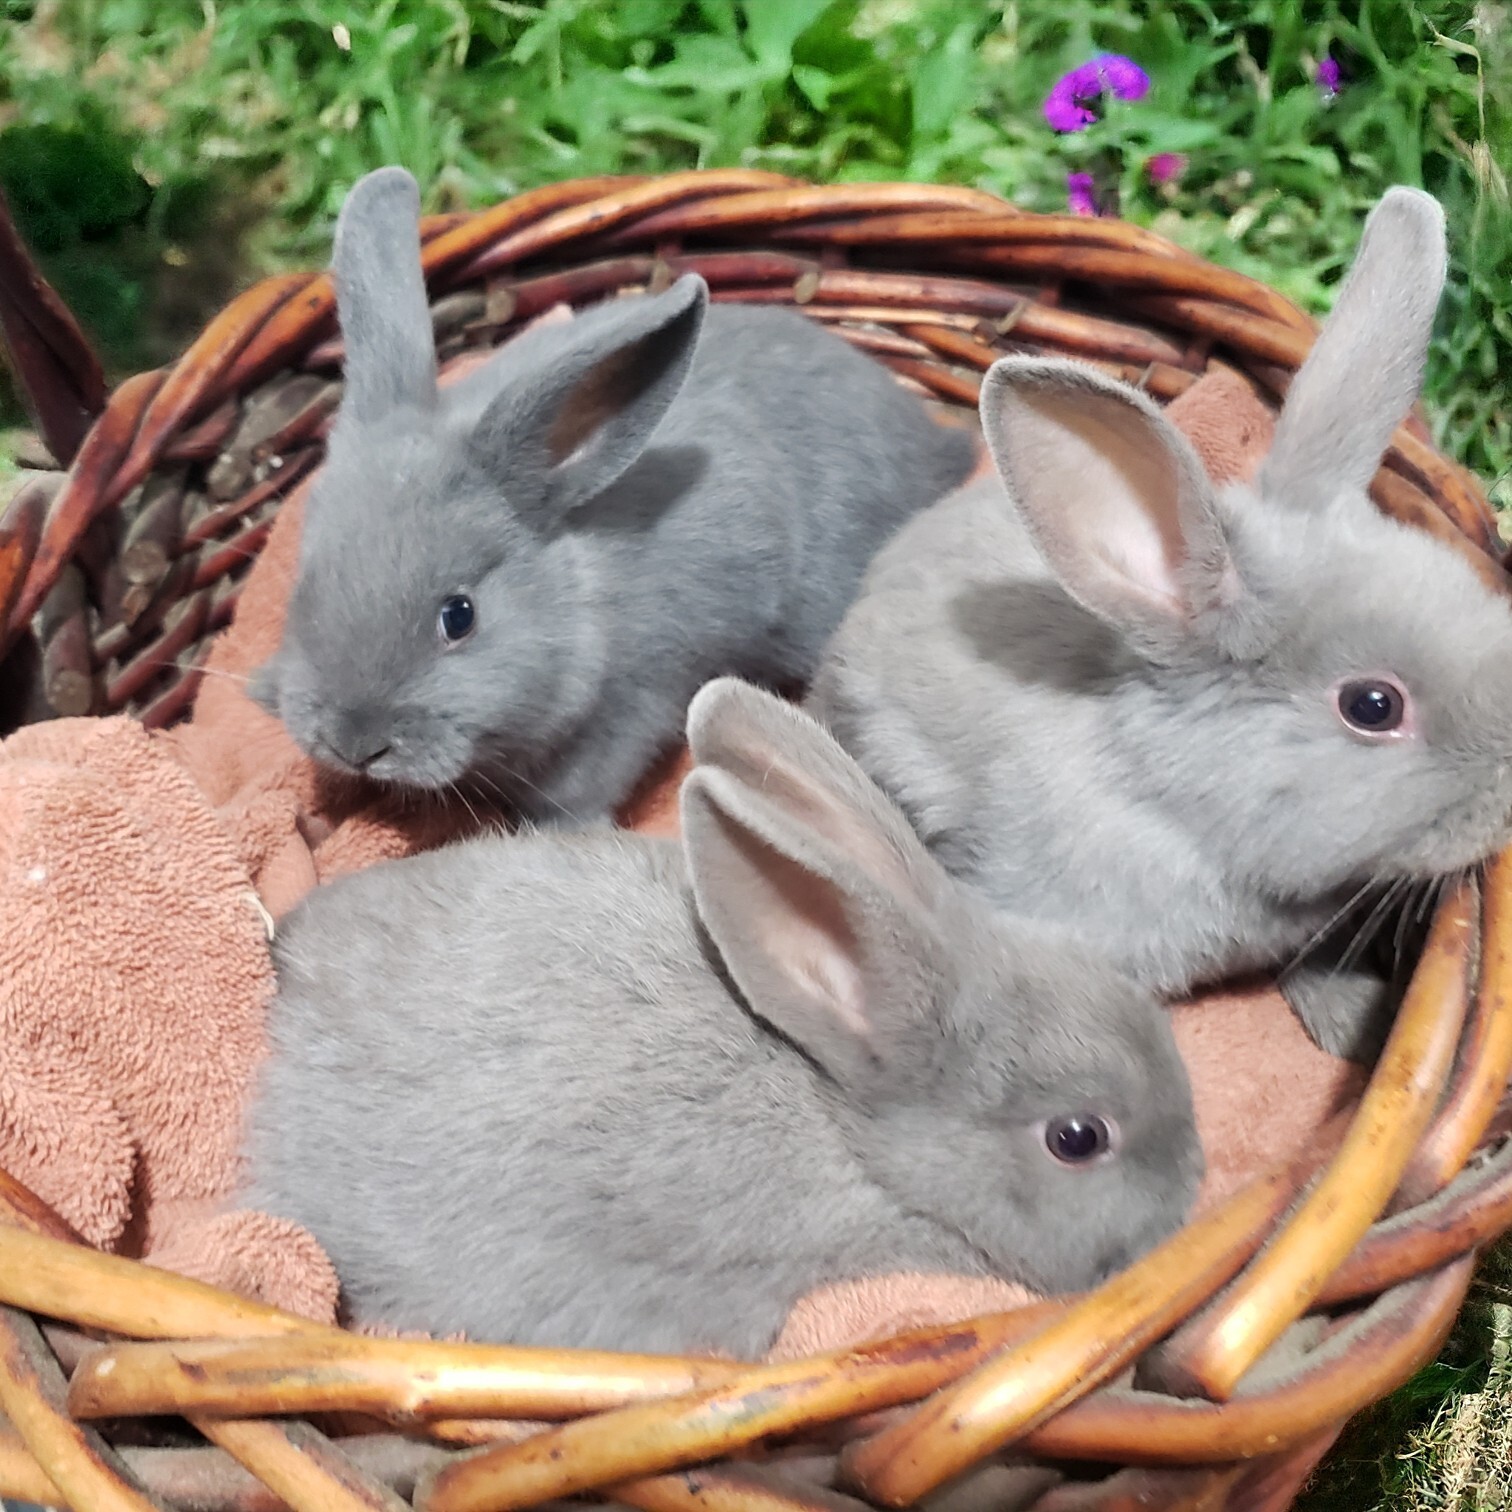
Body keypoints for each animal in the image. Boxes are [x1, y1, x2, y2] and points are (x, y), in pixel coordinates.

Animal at [250, 166, 976, 826]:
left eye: (459, 617)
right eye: (303, 590)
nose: (354, 744)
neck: (578, 596)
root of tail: (934, 445)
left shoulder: (633, 703)